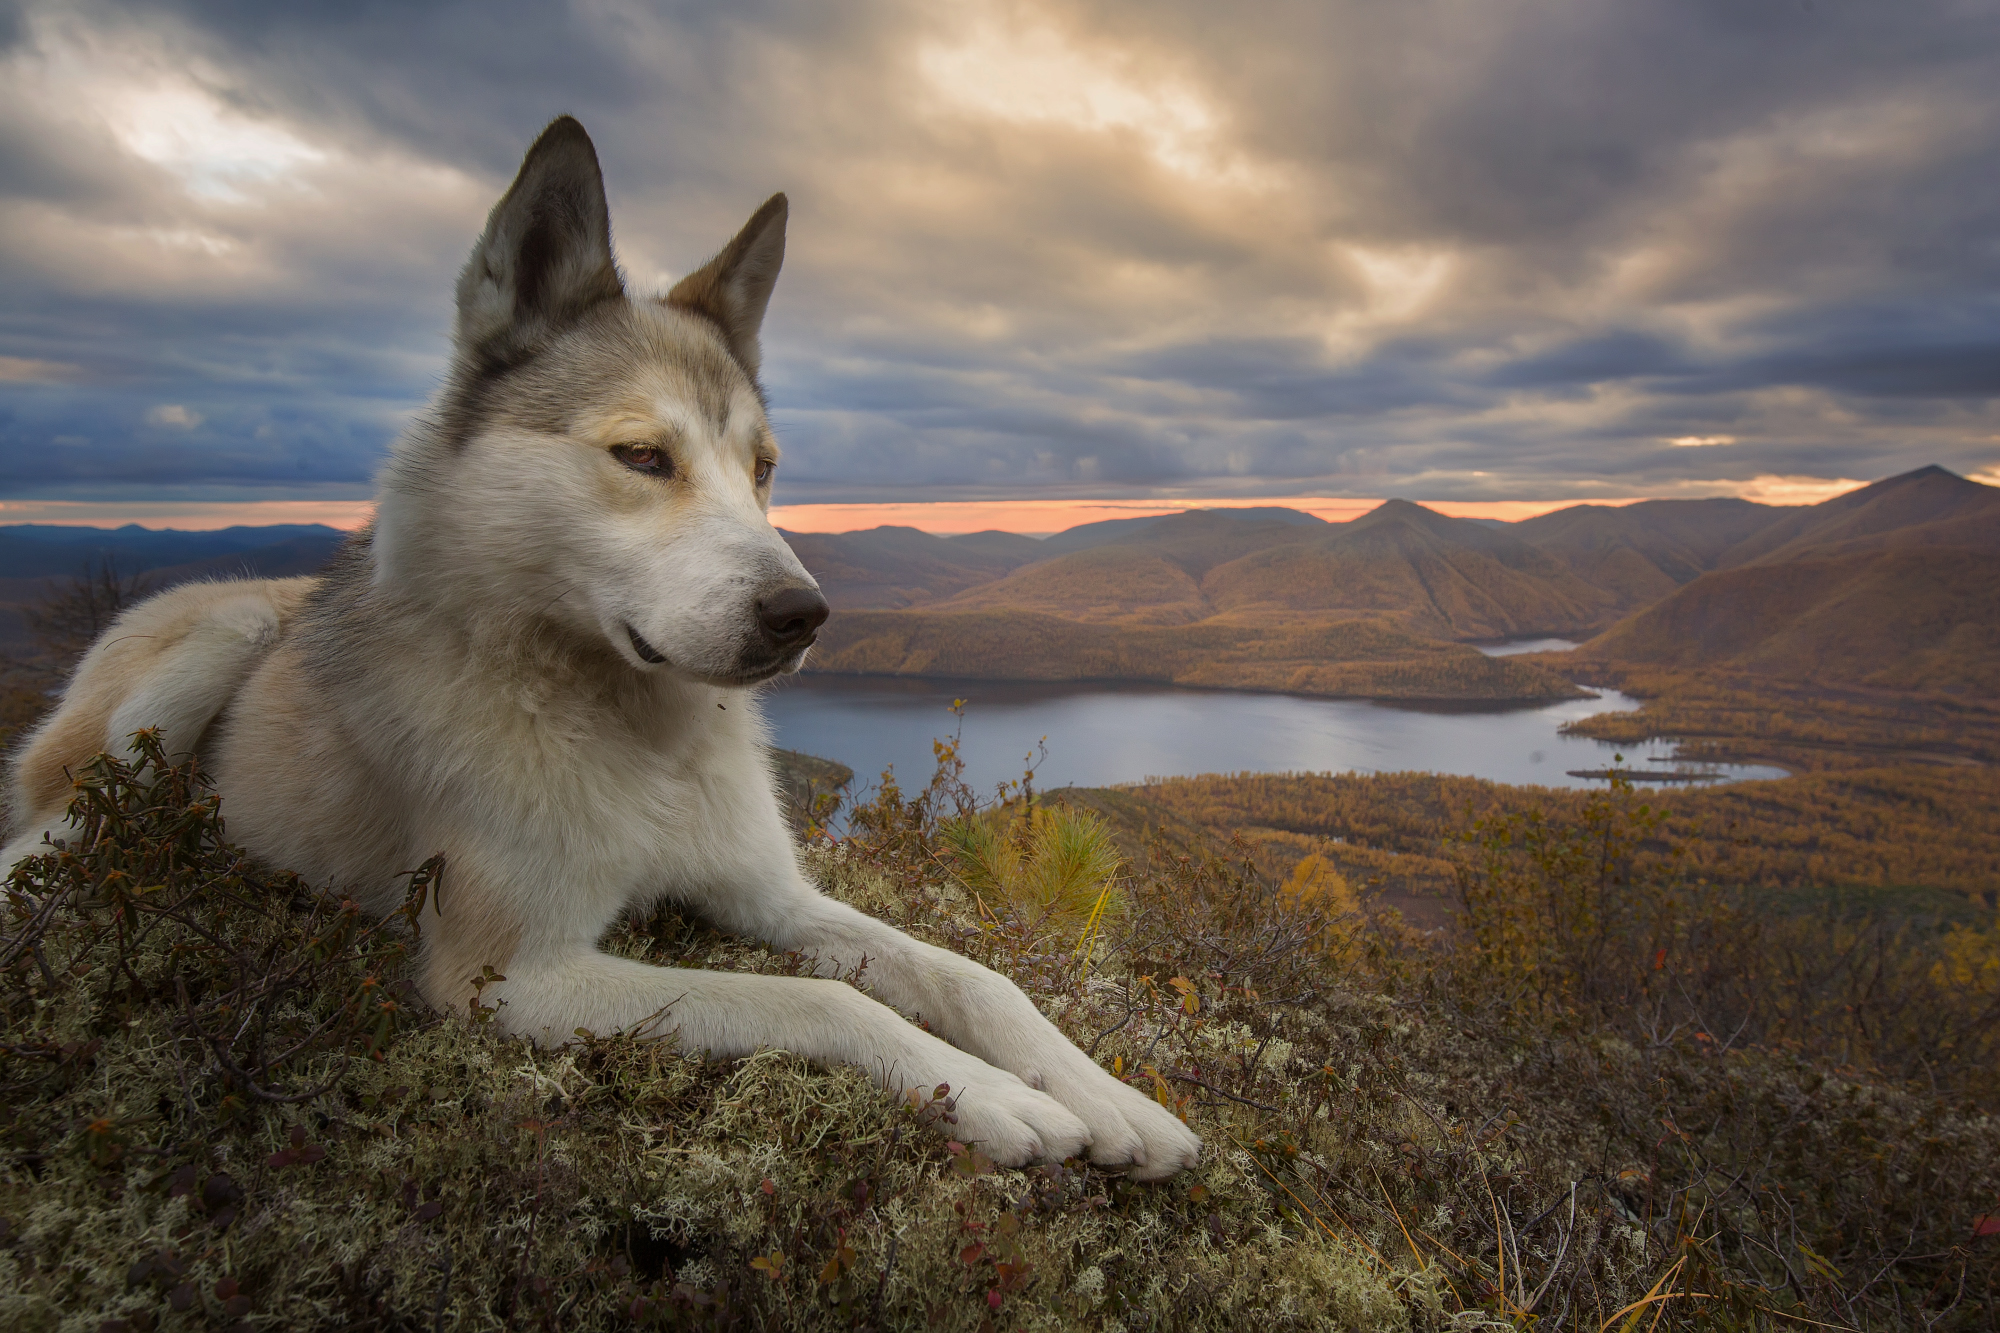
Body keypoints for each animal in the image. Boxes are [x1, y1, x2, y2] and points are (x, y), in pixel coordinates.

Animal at [3, 114, 1200, 1176]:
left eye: (763, 469)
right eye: (641, 456)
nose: (804, 615)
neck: (635, 734)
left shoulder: (767, 896)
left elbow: (970, 975)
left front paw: (1105, 1095)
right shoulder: (512, 975)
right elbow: (821, 996)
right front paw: (988, 1096)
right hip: (208, 646)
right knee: (48, 828)